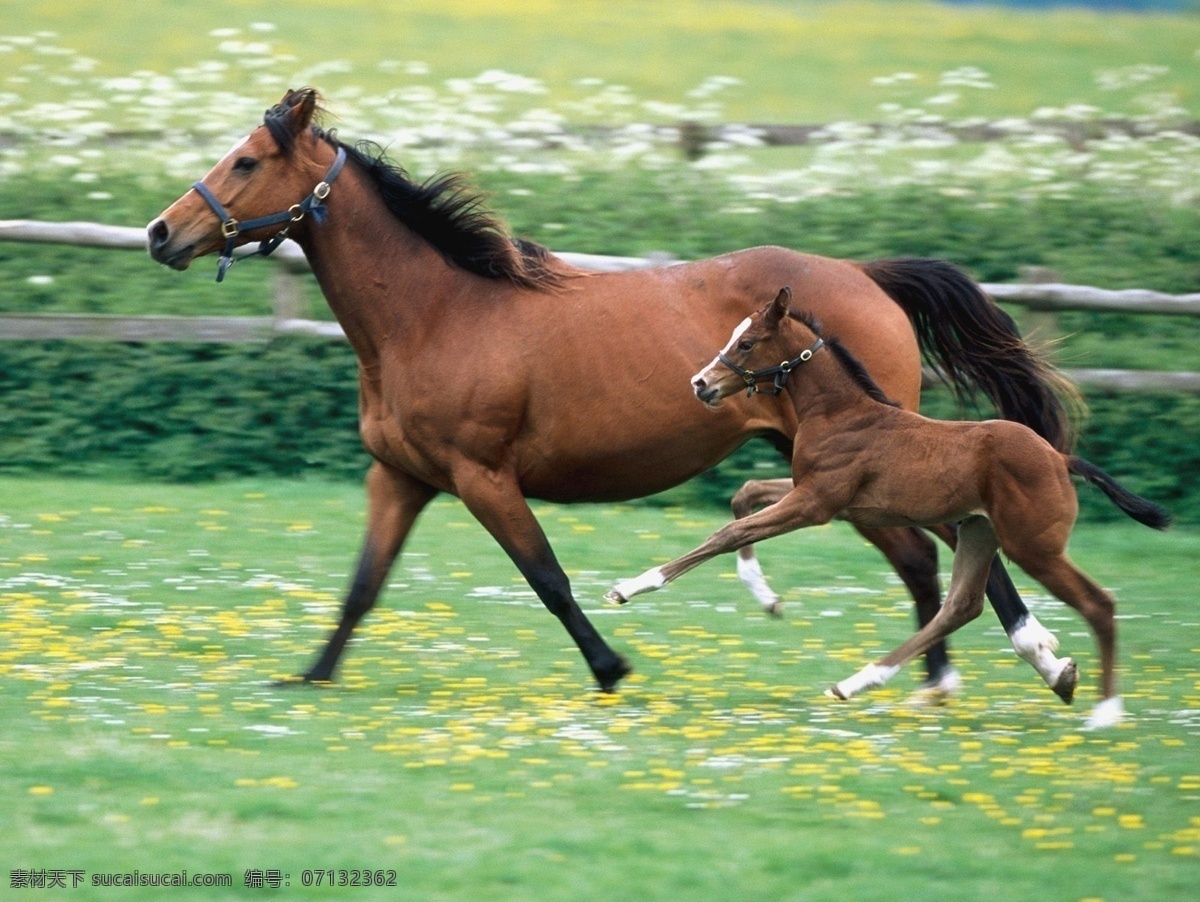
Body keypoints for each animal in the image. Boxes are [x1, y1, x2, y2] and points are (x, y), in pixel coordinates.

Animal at [146, 87, 1081, 696]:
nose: (160, 233)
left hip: (866, 460)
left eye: (247, 160)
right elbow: (363, 585)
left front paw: (611, 667)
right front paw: (309, 676)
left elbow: (548, 578)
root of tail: (866, 275)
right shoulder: (401, 477)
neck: (436, 313)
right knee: (928, 557)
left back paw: (1022, 663)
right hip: (833, 465)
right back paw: (946, 679)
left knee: (949, 554)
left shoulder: (483, 476)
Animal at [607, 287, 1170, 728]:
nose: (700, 384)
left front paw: (629, 587)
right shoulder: (818, 495)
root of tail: (1059, 457)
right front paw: (764, 594)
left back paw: (1105, 712)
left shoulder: (815, 503)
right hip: (979, 532)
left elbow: (727, 534)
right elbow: (744, 497)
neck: (840, 411)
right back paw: (857, 682)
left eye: (746, 342)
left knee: (1099, 603)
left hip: (1033, 546)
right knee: (961, 606)